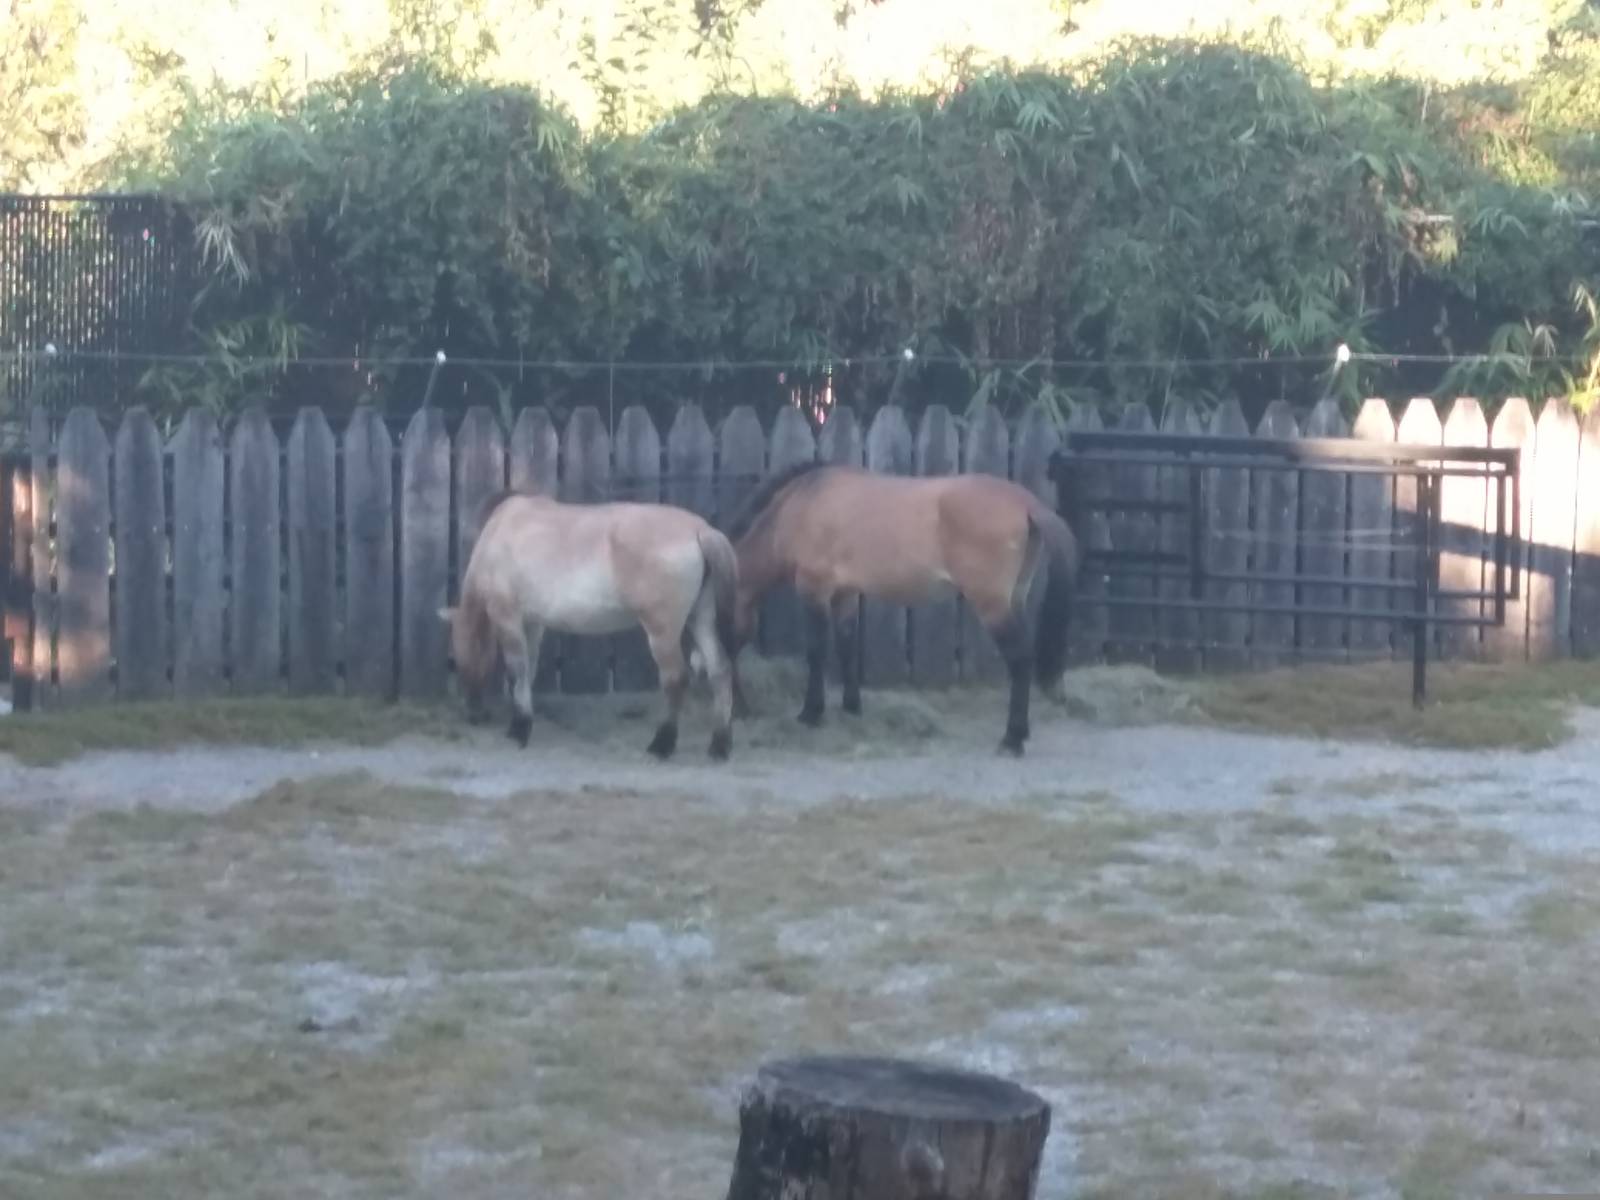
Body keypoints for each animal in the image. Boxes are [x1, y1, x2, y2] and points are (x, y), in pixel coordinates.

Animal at [438, 490, 740, 760]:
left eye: (456, 659)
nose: (473, 714)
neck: (500, 534)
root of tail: (700, 530)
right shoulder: (532, 623)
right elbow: (528, 670)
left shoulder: (508, 618)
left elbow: (517, 671)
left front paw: (519, 729)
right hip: (700, 619)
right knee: (720, 669)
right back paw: (719, 744)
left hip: (662, 632)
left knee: (675, 679)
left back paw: (662, 744)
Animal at [717, 461, 1080, 756]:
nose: (741, 708)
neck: (803, 504)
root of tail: (1025, 502)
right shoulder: (845, 593)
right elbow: (846, 646)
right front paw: (851, 707)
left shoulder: (814, 589)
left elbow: (817, 651)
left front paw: (811, 712)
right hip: (1013, 599)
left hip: (992, 605)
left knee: (1020, 659)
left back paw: (1011, 739)